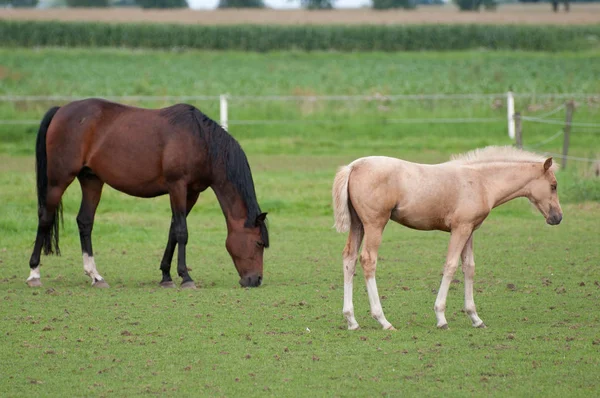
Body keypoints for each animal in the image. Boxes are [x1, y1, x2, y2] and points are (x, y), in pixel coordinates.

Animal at [27, 98, 270, 288]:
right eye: (259, 243)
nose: (256, 280)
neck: (200, 141)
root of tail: (61, 110)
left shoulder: (191, 193)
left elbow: (173, 231)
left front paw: (166, 276)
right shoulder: (177, 186)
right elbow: (182, 231)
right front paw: (186, 277)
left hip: (91, 180)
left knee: (85, 222)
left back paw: (95, 276)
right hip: (59, 180)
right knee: (45, 218)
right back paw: (34, 274)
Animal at [332, 145, 564, 330]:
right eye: (553, 185)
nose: (557, 217)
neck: (481, 181)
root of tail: (353, 167)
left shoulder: (470, 230)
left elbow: (469, 267)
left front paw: (475, 318)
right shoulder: (460, 229)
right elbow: (451, 265)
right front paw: (441, 317)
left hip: (358, 225)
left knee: (349, 259)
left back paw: (352, 320)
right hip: (375, 224)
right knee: (368, 260)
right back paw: (383, 320)